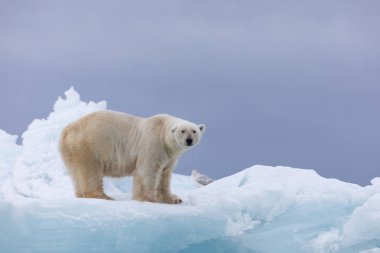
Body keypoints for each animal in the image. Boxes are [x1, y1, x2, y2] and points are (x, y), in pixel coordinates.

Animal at [58, 110, 205, 204]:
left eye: (194, 131)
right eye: (182, 131)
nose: (189, 140)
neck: (162, 130)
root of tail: (67, 130)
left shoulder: (168, 156)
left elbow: (165, 175)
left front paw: (174, 199)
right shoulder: (153, 144)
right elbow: (147, 171)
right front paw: (148, 199)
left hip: (73, 151)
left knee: (77, 173)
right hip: (89, 146)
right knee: (90, 172)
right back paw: (103, 196)